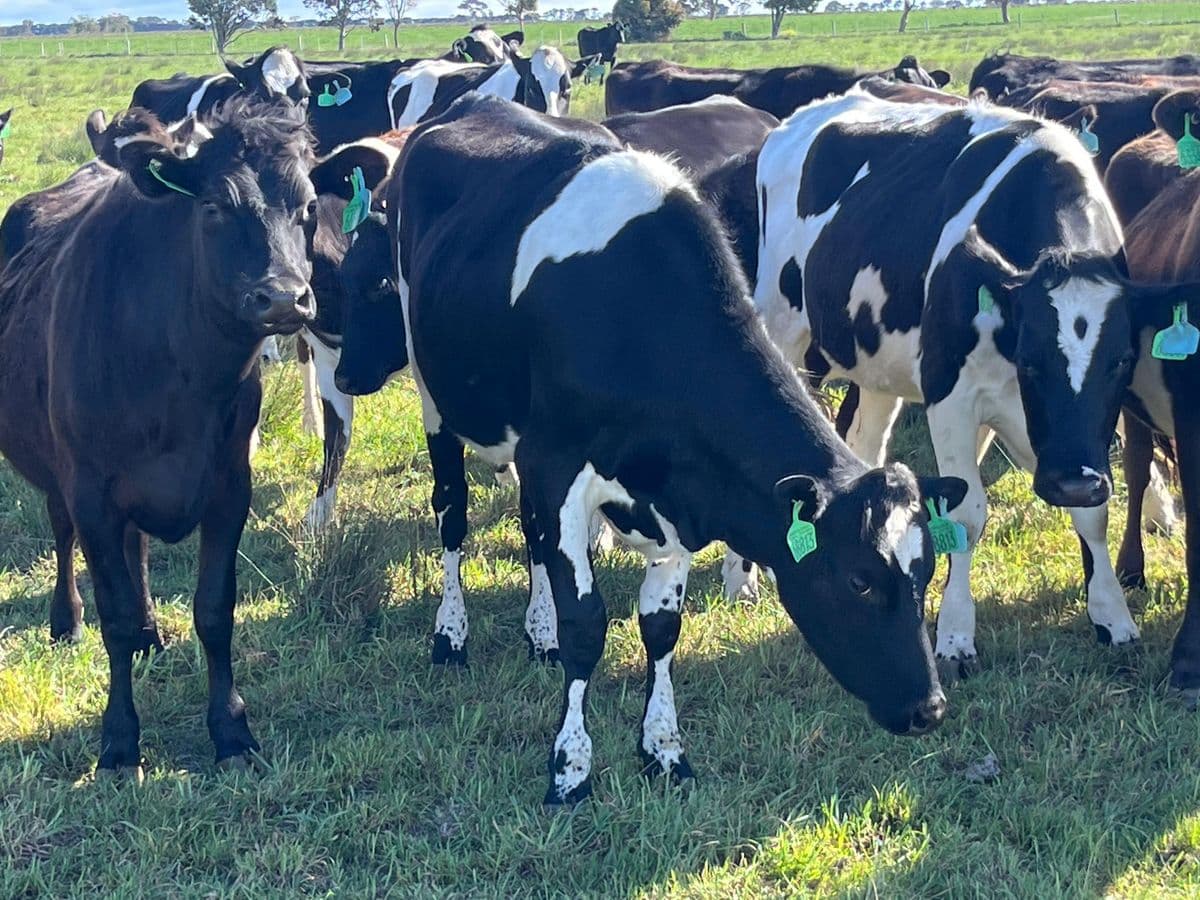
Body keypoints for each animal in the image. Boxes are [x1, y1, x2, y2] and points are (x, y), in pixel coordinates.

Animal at [0, 100, 317, 778]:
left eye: (306, 207)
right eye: (215, 205)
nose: (283, 297)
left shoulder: (229, 487)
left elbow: (214, 608)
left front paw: (231, 730)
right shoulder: (90, 491)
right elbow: (114, 616)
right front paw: (119, 743)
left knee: (136, 546)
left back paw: (152, 631)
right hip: (57, 473)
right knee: (64, 535)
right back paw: (66, 620)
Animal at [729, 89, 1187, 681]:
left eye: (1123, 360)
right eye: (1031, 359)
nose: (1071, 483)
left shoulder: (1063, 439)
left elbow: (1093, 513)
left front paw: (1112, 615)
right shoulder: (951, 396)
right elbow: (967, 516)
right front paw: (954, 636)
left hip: (877, 369)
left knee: (862, 442)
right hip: (780, 324)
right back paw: (740, 580)